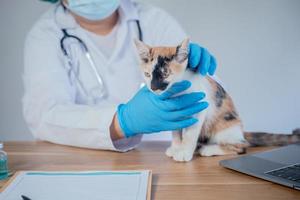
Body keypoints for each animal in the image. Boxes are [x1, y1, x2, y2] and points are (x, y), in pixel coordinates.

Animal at [134, 38, 300, 162]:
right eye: (147, 74)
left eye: (165, 74)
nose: (153, 87)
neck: (176, 94)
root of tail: (241, 132)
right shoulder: (173, 113)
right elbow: (176, 132)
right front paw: (176, 147)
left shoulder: (200, 107)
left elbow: (189, 134)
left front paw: (184, 152)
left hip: (225, 128)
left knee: (241, 146)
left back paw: (208, 149)